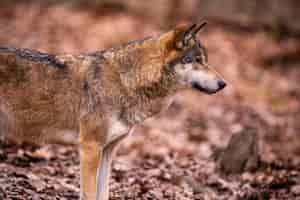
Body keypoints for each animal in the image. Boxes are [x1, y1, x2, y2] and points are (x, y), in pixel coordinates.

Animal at [0, 22, 225, 200]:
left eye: (205, 60)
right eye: (197, 60)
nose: (224, 84)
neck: (126, 82)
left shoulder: (108, 150)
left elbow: (104, 193)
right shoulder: (90, 147)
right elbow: (89, 194)